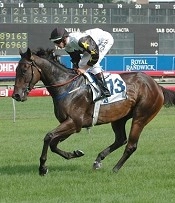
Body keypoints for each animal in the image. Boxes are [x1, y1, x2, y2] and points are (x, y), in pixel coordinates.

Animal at [12, 48, 175, 175]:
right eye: (16, 70)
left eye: (24, 70)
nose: (16, 95)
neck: (67, 87)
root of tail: (157, 85)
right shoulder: (70, 124)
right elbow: (53, 143)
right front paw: (74, 154)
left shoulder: (74, 123)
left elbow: (48, 137)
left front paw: (42, 168)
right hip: (119, 118)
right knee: (121, 139)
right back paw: (98, 160)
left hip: (141, 116)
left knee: (131, 145)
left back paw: (115, 169)